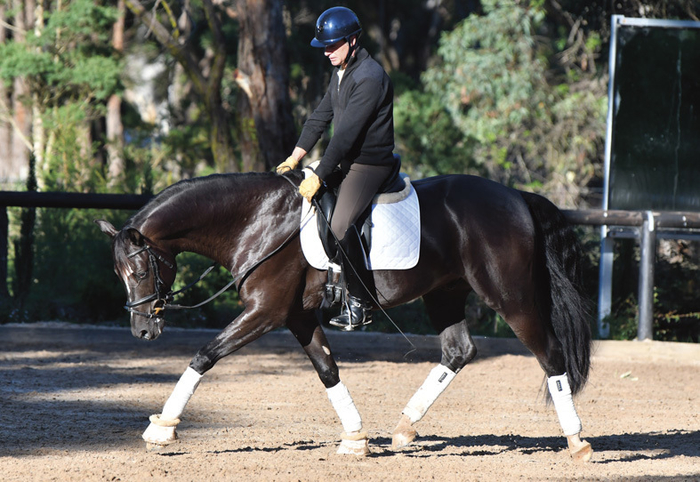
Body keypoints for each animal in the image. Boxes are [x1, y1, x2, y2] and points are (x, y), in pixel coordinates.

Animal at [96, 169, 593, 462]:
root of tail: (516, 197)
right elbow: (328, 371)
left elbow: (204, 356)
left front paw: (163, 428)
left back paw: (577, 441)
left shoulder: (264, 312)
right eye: (118, 273)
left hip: (510, 296)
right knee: (458, 351)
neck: (256, 220)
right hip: (445, 293)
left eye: (139, 270)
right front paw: (355, 437)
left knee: (550, 355)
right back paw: (404, 429)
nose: (142, 330)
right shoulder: (297, 318)